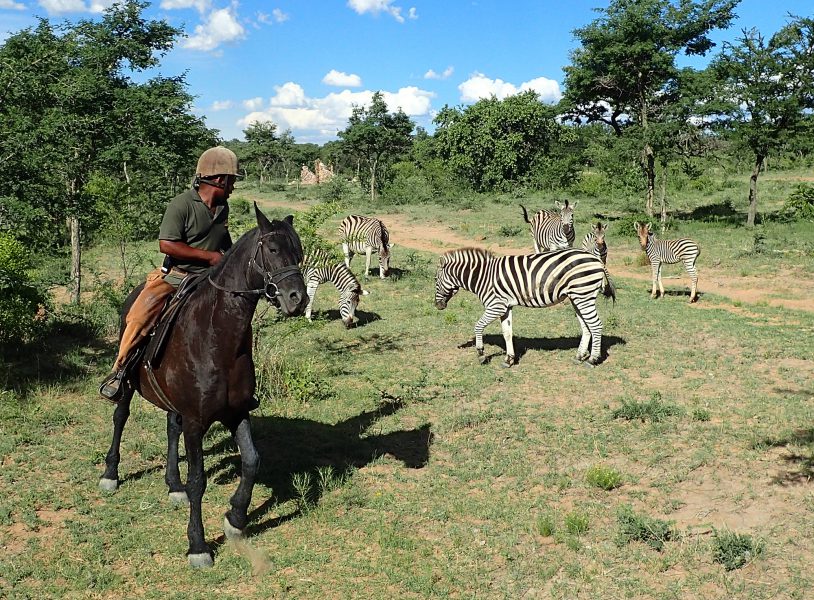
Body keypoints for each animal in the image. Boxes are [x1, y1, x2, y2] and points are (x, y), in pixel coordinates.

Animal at [99, 205, 310, 568]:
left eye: (297, 253)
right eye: (272, 249)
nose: (297, 299)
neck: (217, 336)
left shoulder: (236, 412)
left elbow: (252, 461)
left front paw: (235, 518)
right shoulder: (197, 422)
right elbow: (198, 480)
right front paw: (197, 545)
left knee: (171, 427)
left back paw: (173, 485)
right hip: (127, 385)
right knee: (120, 417)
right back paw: (111, 474)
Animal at [434, 246, 620, 368]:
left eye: (435, 280)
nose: (437, 305)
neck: (483, 277)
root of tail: (597, 259)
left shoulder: (496, 306)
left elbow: (478, 326)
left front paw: (481, 354)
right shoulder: (505, 307)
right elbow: (507, 333)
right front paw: (509, 360)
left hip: (583, 294)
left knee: (595, 325)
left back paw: (592, 360)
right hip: (577, 297)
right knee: (586, 326)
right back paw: (579, 356)